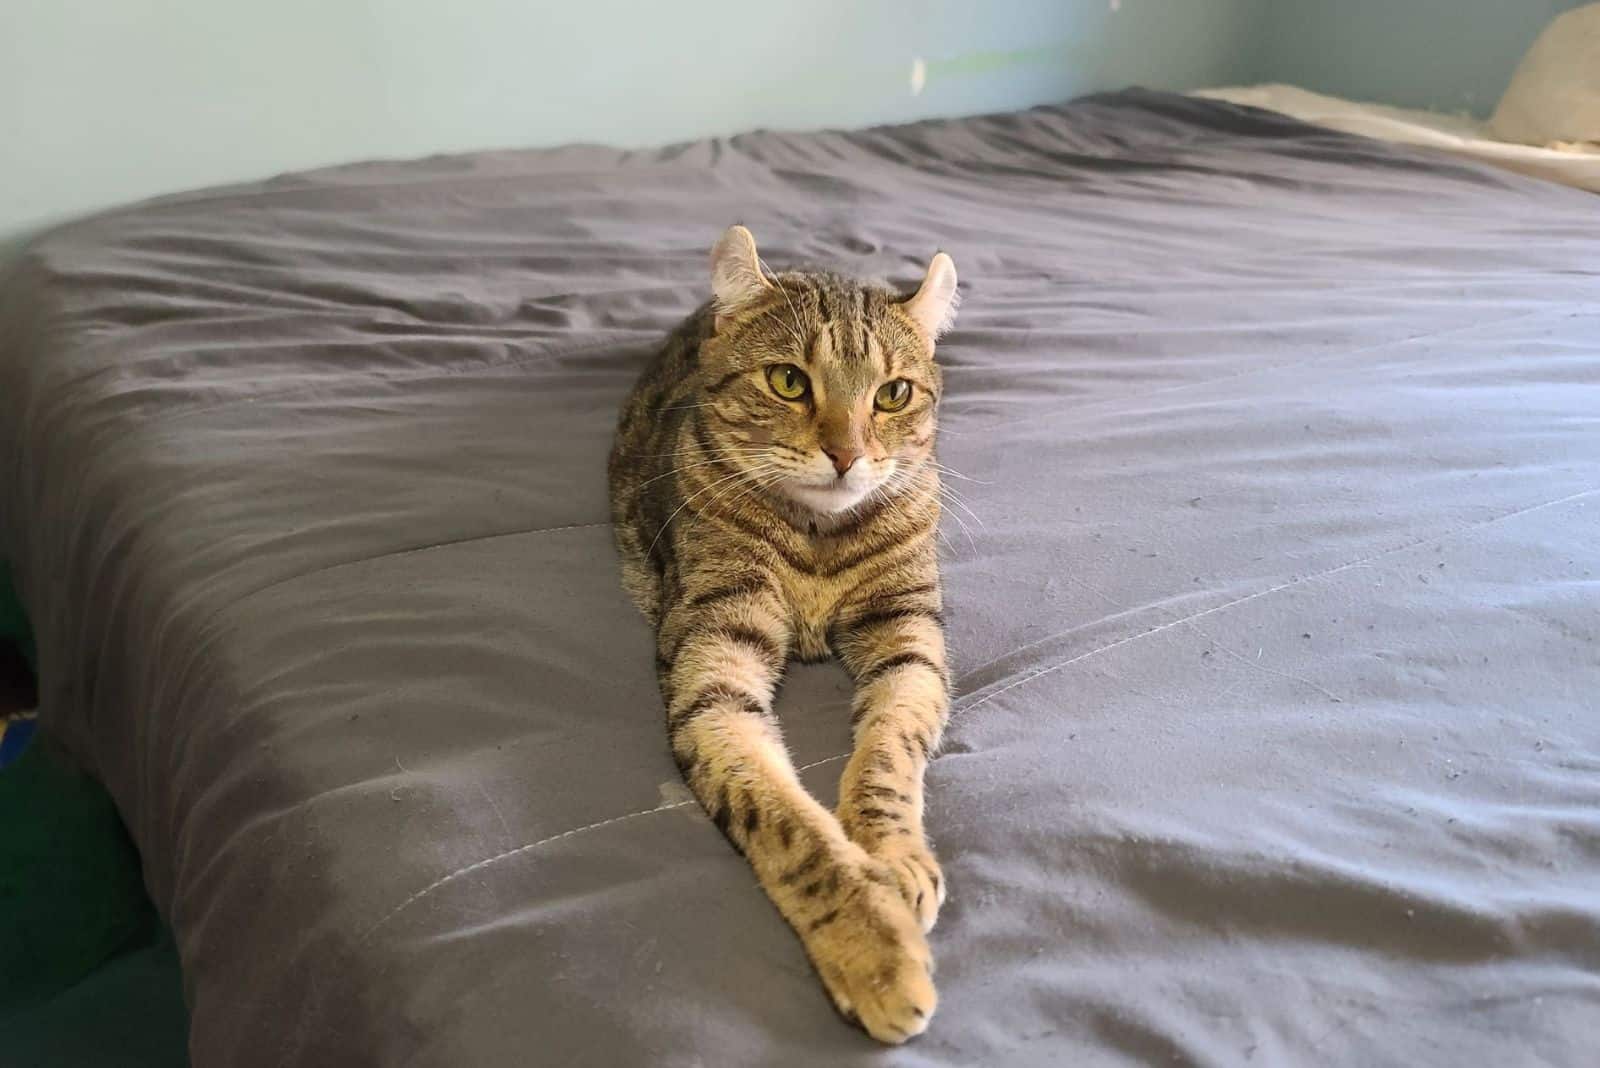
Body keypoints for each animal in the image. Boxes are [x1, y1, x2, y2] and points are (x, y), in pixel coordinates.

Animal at [608, 227, 960, 1042]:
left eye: (893, 394)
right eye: (789, 382)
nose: (847, 454)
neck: (818, 540)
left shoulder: (910, 638)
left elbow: (890, 749)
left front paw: (893, 856)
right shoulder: (712, 665)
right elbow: (786, 823)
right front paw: (873, 947)